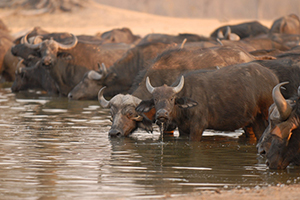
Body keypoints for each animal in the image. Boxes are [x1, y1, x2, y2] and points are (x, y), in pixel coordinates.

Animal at [136, 62, 278, 141]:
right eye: (155, 99)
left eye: (172, 98)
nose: (161, 114)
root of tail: (272, 76)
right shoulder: (182, 129)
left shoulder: (198, 127)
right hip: (256, 120)